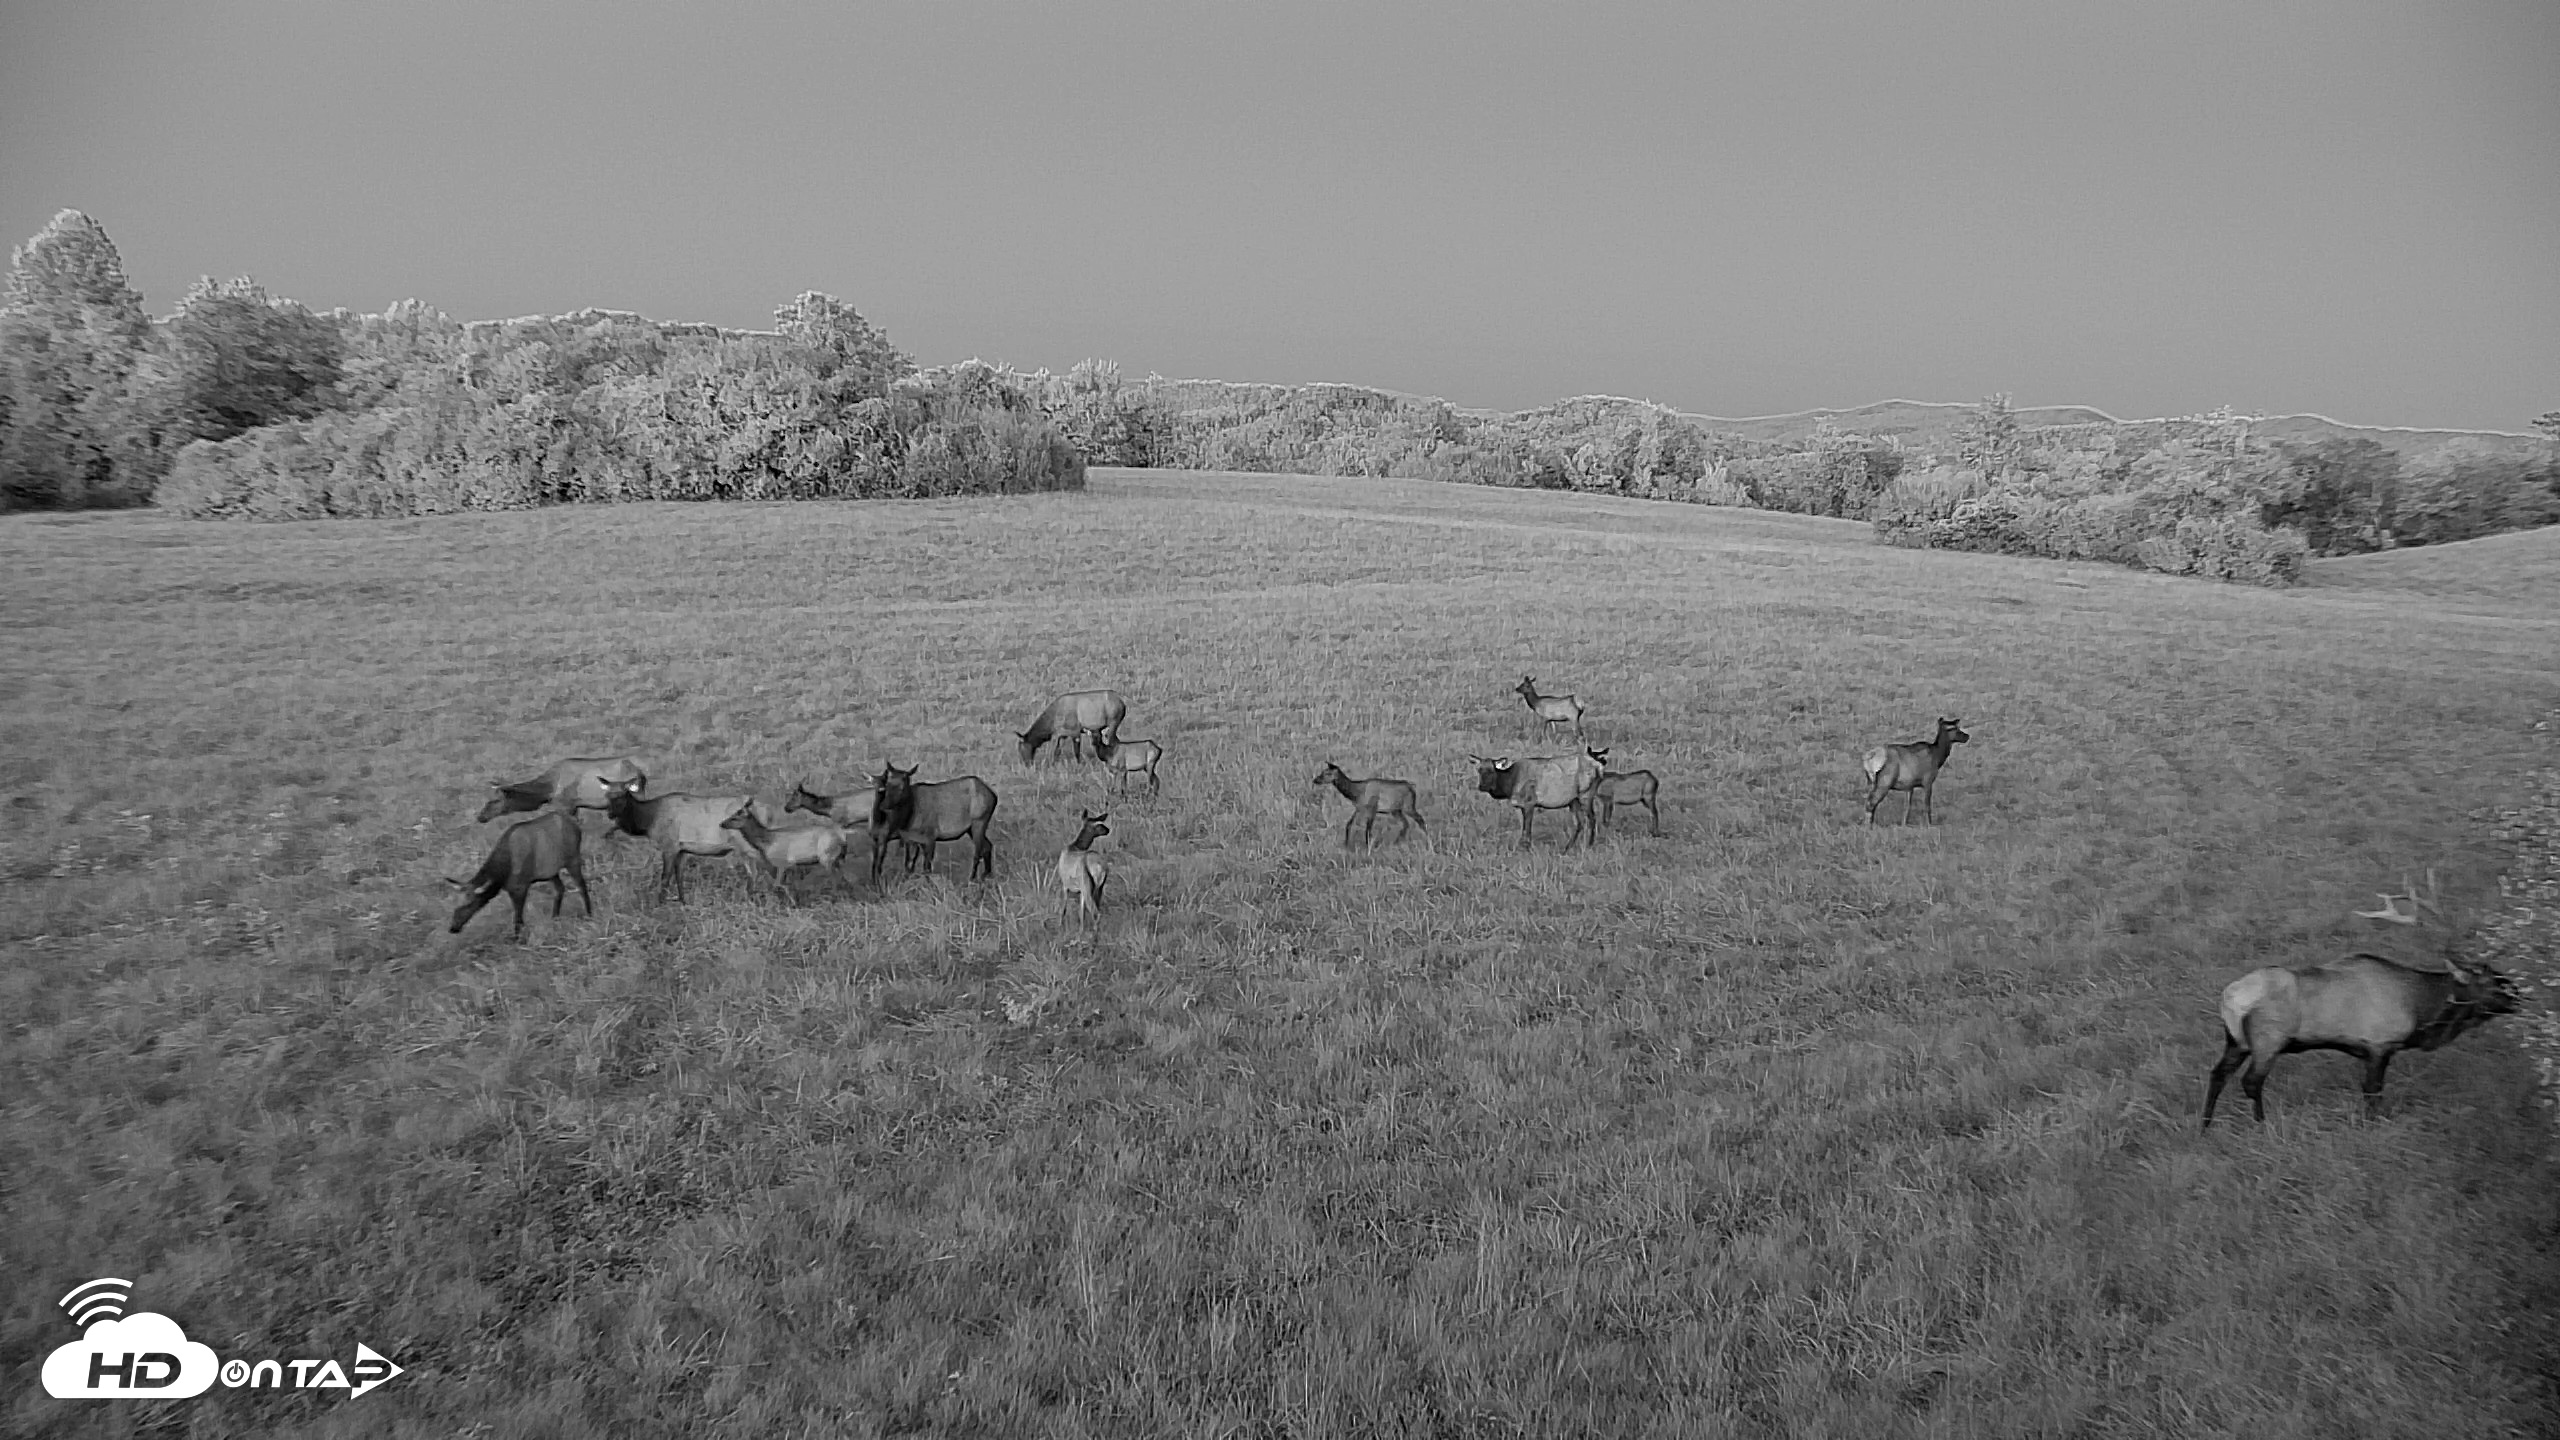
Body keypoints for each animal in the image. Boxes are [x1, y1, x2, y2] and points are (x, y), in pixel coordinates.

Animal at [2202, 871, 2524, 1127]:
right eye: (2488, 981)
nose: (2518, 996)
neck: (2421, 1009)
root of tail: (2229, 998)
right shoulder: (2379, 1045)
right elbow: (2372, 1092)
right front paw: (2373, 1124)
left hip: (2237, 1041)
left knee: (2217, 1074)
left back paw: (2205, 1128)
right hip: (2268, 1040)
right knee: (2251, 1082)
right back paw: (2261, 1124)